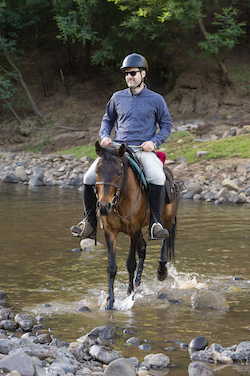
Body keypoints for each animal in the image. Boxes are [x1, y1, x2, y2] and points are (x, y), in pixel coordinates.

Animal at [94, 140, 180, 308]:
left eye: (119, 173)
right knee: (143, 248)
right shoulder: (111, 231)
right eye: (96, 171)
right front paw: (110, 302)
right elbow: (111, 267)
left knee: (164, 238)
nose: (104, 206)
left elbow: (130, 263)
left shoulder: (133, 230)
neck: (120, 199)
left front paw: (130, 296)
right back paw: (137, 281)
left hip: (166, 220)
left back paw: (161, 271)